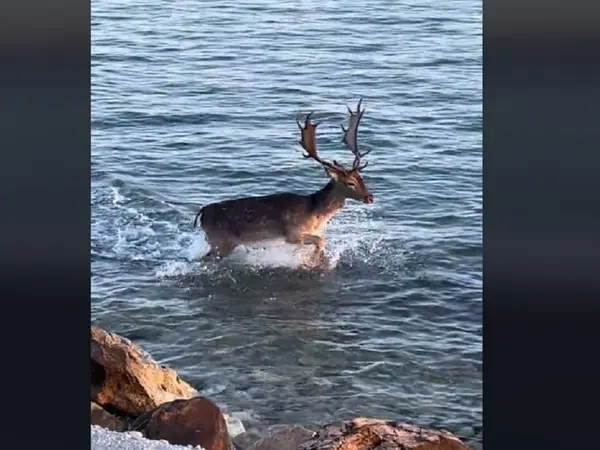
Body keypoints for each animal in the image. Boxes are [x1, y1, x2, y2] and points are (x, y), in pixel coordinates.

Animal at [192, 98, 372, 268]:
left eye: (361, 178)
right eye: (350, 183)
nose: (370, 197)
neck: (315, 214)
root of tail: (201, 213)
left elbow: (321, 240)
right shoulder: (293, 234)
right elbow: (321, 240)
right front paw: (312, 261)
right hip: (221, 242)